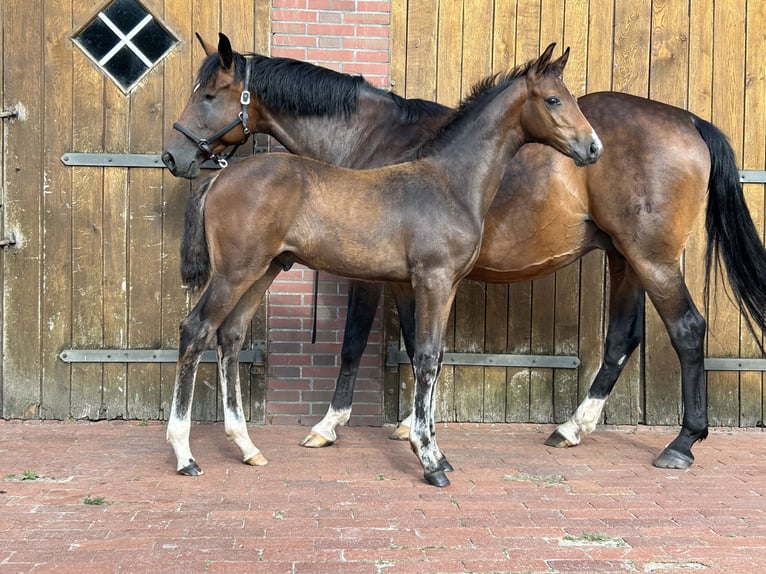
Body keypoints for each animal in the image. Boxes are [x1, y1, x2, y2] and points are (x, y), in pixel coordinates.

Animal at [164, 36, 766, 474]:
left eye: (208, 94)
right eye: (554, 99)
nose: (173, 156)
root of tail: (690, 121)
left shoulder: (396, 279)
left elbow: (372, 346)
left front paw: (350, 428)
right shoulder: (417, 278)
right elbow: (414, 350)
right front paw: (414, 438)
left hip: (649, 256)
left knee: (683, 329)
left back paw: (678, 443)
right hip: (625, 256)